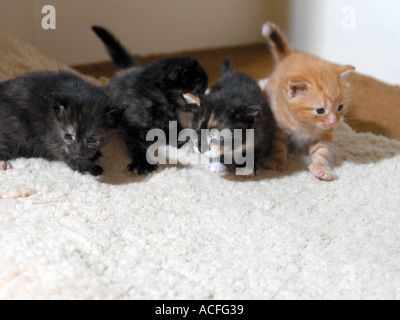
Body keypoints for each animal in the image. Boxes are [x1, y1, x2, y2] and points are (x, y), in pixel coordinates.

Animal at [92, 26, 208, 175]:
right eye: (200, 89)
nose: (205, 102)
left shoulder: (173, 121)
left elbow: (177, 131)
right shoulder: (129, 127)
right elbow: (136, 145)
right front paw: (142, 163)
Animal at [262, 22, 356, 181]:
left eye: (340, 107)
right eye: (320, 110)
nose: (333, 122)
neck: (305, 125)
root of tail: (291, 55)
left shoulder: (325, 134)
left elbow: (321, 151)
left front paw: (320, 168)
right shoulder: (278, 126)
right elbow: (278, 144)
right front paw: (277, 160)